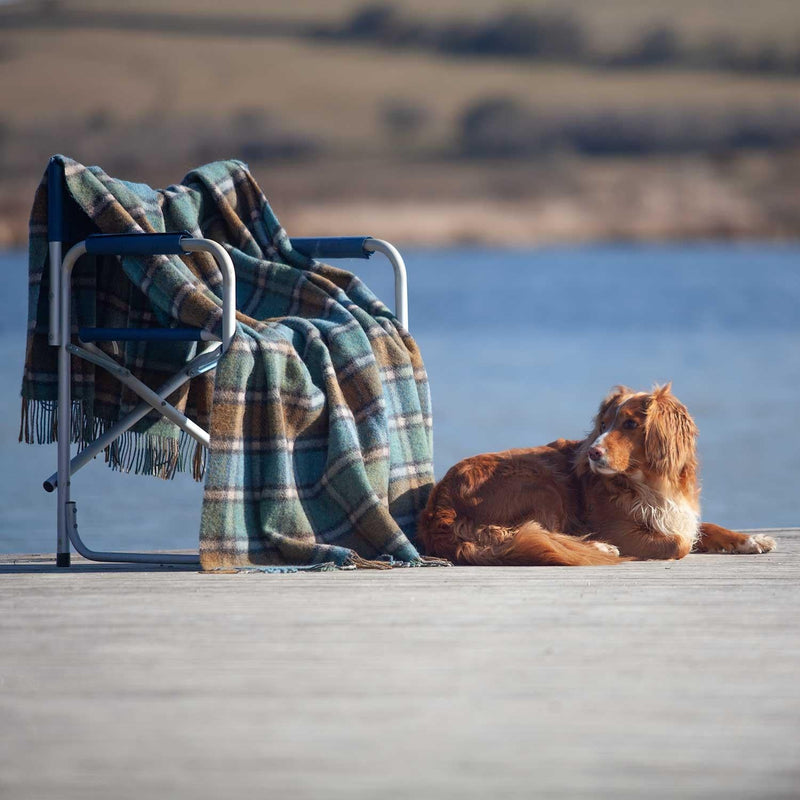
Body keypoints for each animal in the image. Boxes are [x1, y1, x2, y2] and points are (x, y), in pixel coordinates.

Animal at [418, 384, 776, 564]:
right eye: (603, 425)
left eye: (630, 424)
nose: (593, 452)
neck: (650, 482)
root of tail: (438, 504)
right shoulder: (616, 527)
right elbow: (678, 543)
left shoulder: (679, 512)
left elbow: (701, 528)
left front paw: (750, 539)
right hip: (542, 486)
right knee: (535, 535)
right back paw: (599, 549)